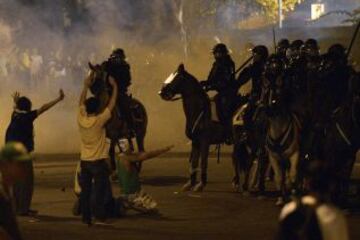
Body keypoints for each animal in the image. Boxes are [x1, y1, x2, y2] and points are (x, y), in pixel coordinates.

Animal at [160, 63, 236, 191]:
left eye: (178, 77)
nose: (161, 92)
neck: (200, 111)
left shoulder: (204, 142)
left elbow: (203, 162)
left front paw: (201, 185)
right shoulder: (195, 142)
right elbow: (194, 162)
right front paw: (190, 183)